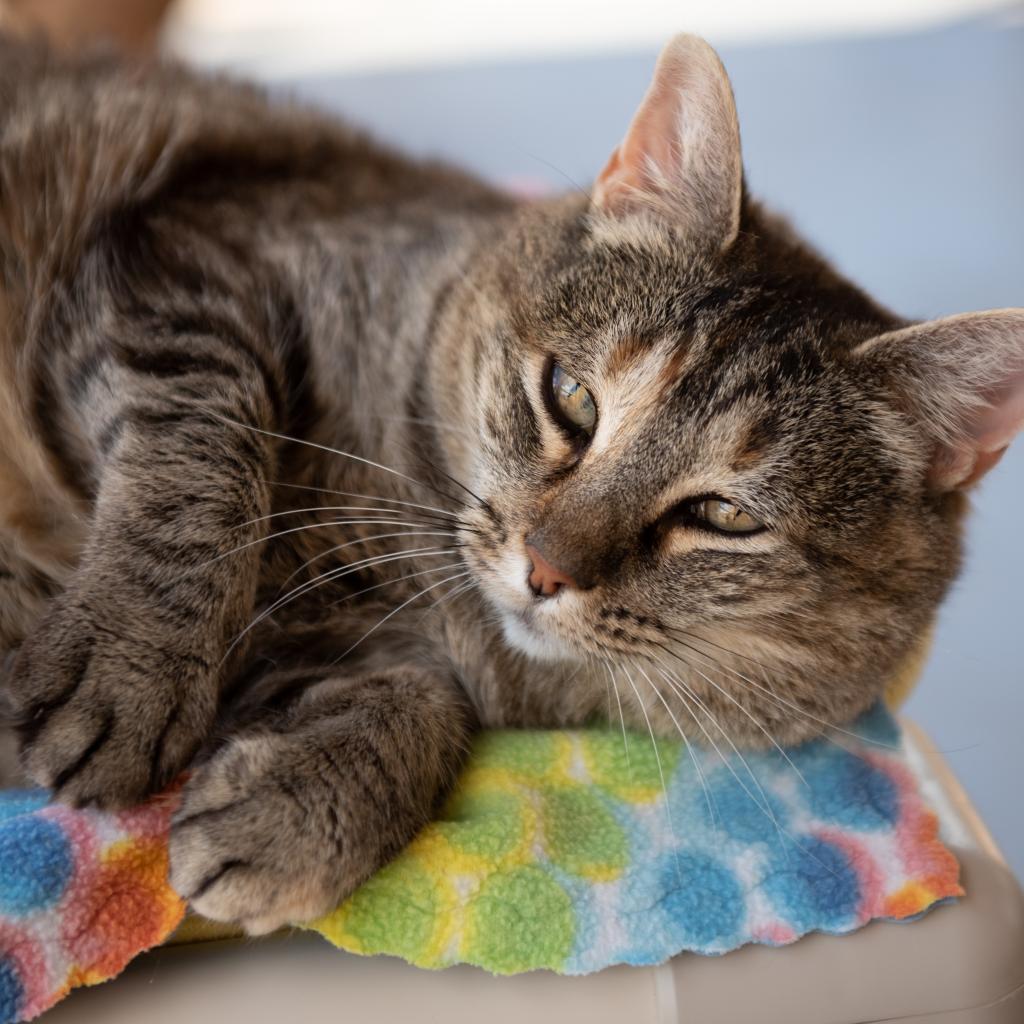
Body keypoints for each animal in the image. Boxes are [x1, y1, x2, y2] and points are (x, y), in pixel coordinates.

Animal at [0, 32, 1019, 933]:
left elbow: (428, 702)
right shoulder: (194, 259)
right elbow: (202, 464)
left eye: (724, 514)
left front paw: (301, 810)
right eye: (571, 396)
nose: (545, 569)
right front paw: (129, 666)